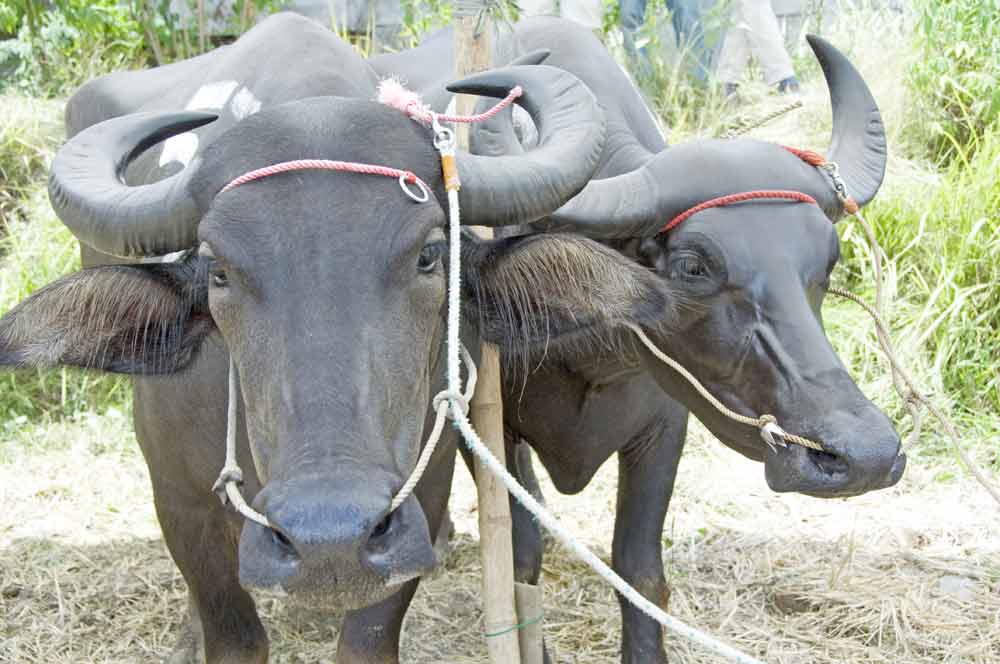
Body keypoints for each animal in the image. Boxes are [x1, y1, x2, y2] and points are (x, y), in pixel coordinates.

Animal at [0, 11, 688, 664]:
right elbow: (234, 636)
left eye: (430, 255)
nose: (328, 539)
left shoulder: (419, 496)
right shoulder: (179, 498)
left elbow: (368, 638)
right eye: (218, 271)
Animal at [376, 16, 908, 664]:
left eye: (826, 262)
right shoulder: (485, 425)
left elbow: (639, 570)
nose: (864, 456)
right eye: (693, 265)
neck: (587, 347)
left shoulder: (666, 426)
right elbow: (522, 556)